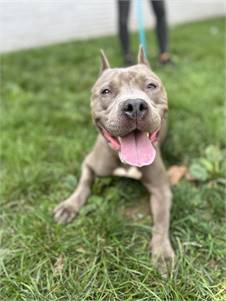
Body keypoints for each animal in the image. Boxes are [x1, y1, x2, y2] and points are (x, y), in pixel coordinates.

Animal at [53, 45, 175, 270]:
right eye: (106, 91)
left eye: (151, 85)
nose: (134, 105)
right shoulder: (90, 163)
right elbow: (83, 183)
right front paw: (69, 206)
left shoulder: (162, 189)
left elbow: (162, 221)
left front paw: (162, 253)